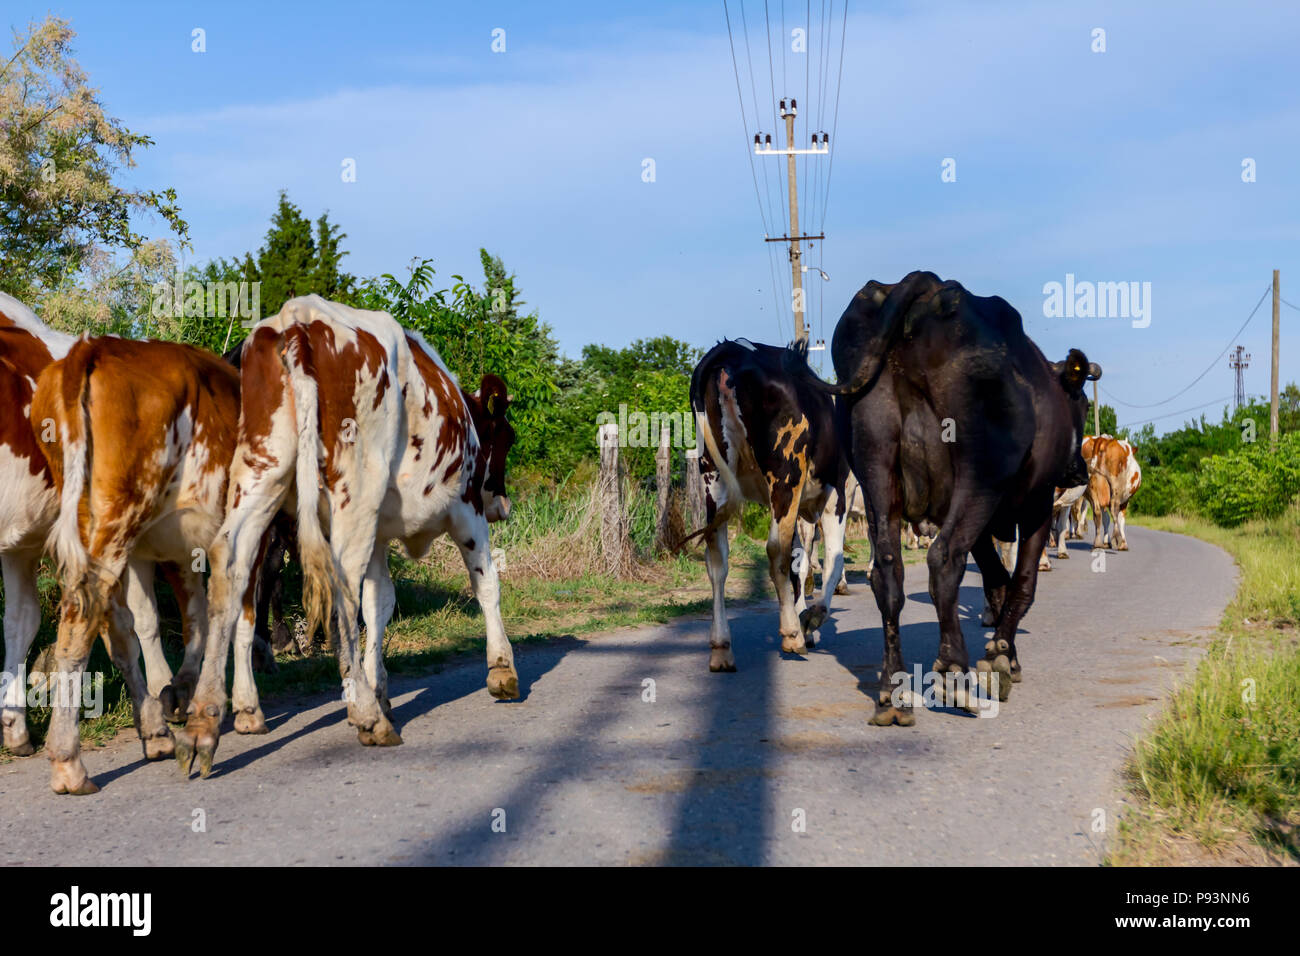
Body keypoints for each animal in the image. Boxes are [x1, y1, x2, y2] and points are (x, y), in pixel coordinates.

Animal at [32, 335, 241, 790]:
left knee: (109, 620)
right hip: (122, 511)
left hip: (94, 521)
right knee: (83, 614)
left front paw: (180, 691)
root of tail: (94, 347)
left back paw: (154, 733)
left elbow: (186, 615)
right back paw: (69, 762)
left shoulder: (168, 547)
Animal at [174, 293, 517, 780]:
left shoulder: (379, 532)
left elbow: (380, 604)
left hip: (262, 474)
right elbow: (485, 583)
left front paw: (380, 688)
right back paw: (364, 717)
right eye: (504, 439)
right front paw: (502, 671)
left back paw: (207, 722)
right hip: (351, 495)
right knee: (338, 585)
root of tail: (298, 320)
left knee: (232, 567)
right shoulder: (465, 509)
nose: (503, 505)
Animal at [686, 338, 847, 671]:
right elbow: (832, 559)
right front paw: (810, 620)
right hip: (786, 473)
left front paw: (804, 619)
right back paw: (791, 635)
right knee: (775, 550)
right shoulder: (834, 494)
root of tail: (733, 349)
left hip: (712, 475)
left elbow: (801, 563)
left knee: (717, 559)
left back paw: (721, 648)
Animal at [811, 270, 1097, 723]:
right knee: (944, 558)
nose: (1078, 471)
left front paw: (1002, 651)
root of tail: (925, 285)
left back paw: (893, 691)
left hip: (876, 468)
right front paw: (1002, 658)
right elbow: (1021, 582)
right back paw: (955, 675)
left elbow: (996, 581)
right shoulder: (1033, 504)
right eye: (1082, 404)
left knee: (888, 571)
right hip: (981, 474)